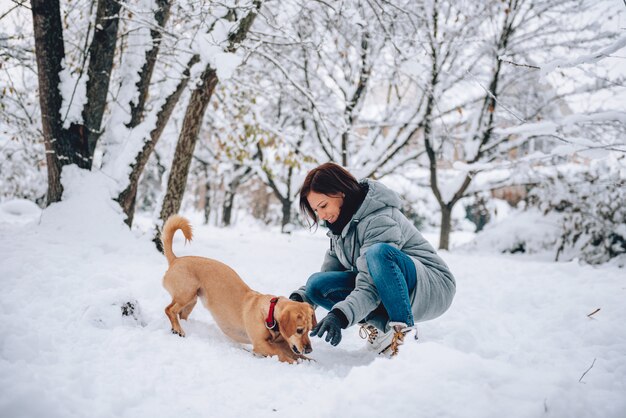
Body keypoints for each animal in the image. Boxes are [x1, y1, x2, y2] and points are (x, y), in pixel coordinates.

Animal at [160, 216, 314, 362]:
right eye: (299, 330)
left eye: (309, 330)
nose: (309, 350)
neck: (269, 313)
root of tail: (175, 259)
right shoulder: (261, 344)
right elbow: (281, 354)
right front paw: (293, 362)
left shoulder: (284, 343)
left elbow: (296, 354)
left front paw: (310, 360)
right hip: (186, 294)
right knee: (169, 310)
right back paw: (178, 329)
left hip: (192, 300)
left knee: (181, 315)